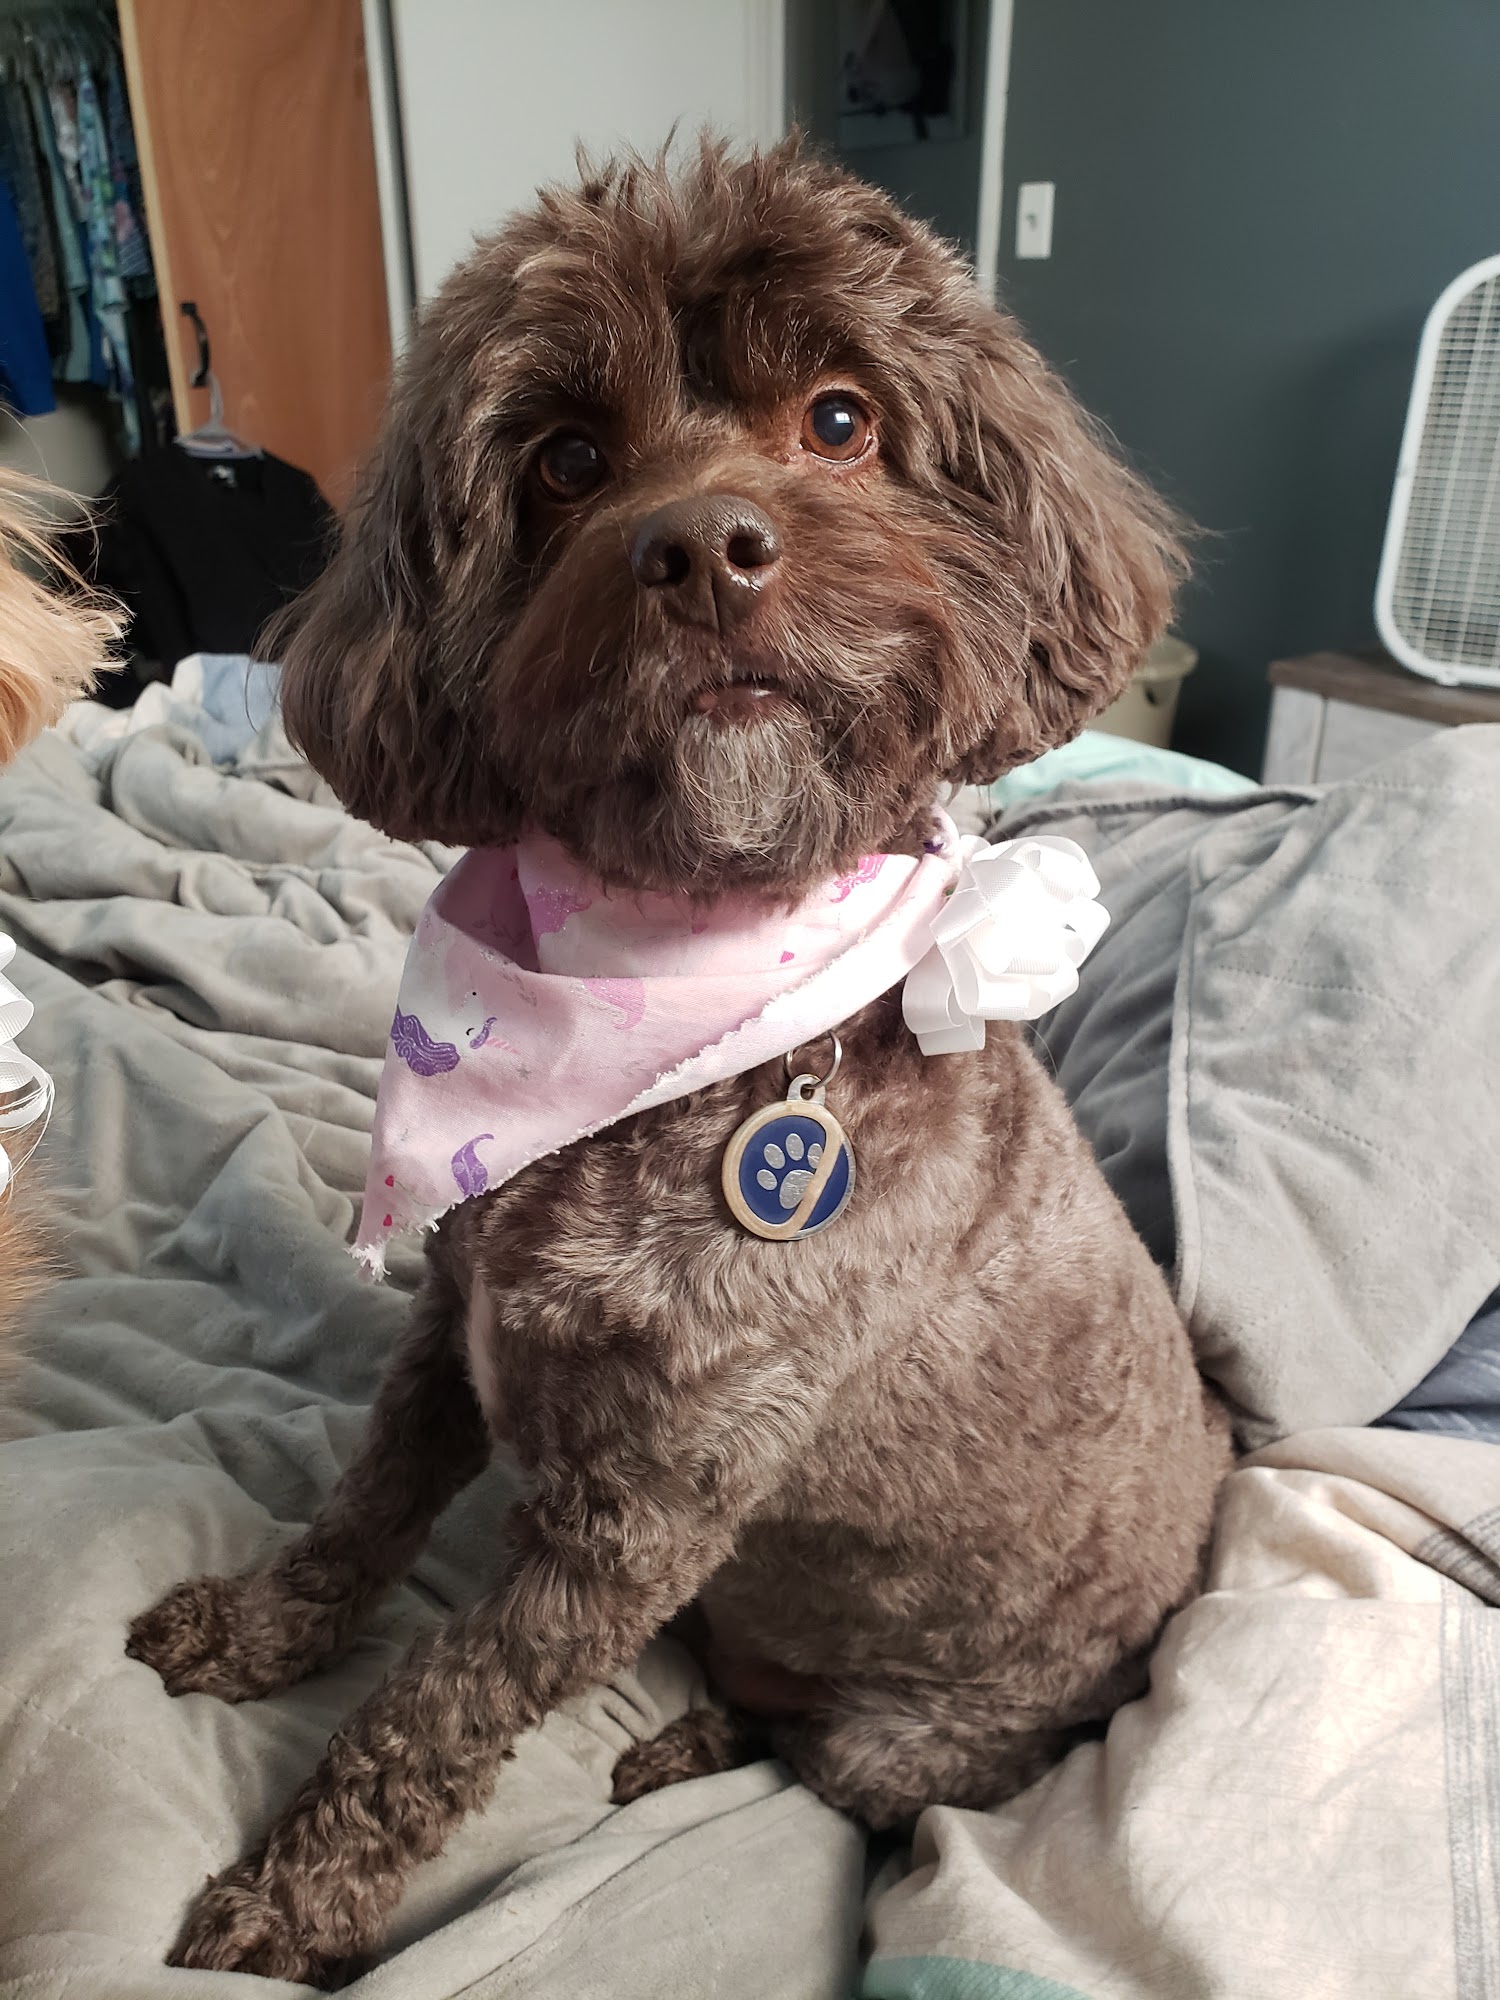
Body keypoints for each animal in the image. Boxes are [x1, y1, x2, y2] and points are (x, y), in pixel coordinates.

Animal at [126, 138, 1233, 1985]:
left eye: (843, 419)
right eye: (566, 459)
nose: (706, 545)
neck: (685, 1017)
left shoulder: (641, 1511)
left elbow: (435, 1707)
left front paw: (297, 1896)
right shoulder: (453, 1337)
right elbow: (360, 1513)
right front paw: (264, 1625)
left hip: (905, 1738)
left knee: (819, 1762)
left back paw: (689, 1744)